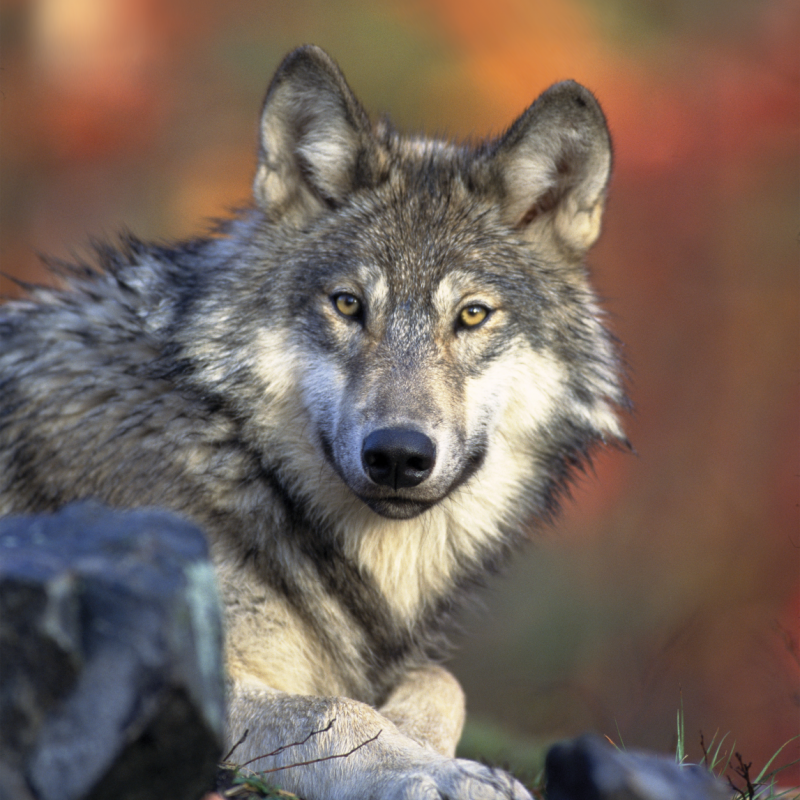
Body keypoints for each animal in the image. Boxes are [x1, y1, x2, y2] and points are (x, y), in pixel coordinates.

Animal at [0, 45, 625, 799]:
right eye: (348, 304)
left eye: (472, 314)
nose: (398, 455)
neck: (236, 456)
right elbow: (338, 711)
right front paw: (445, 772)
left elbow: (441, 681)